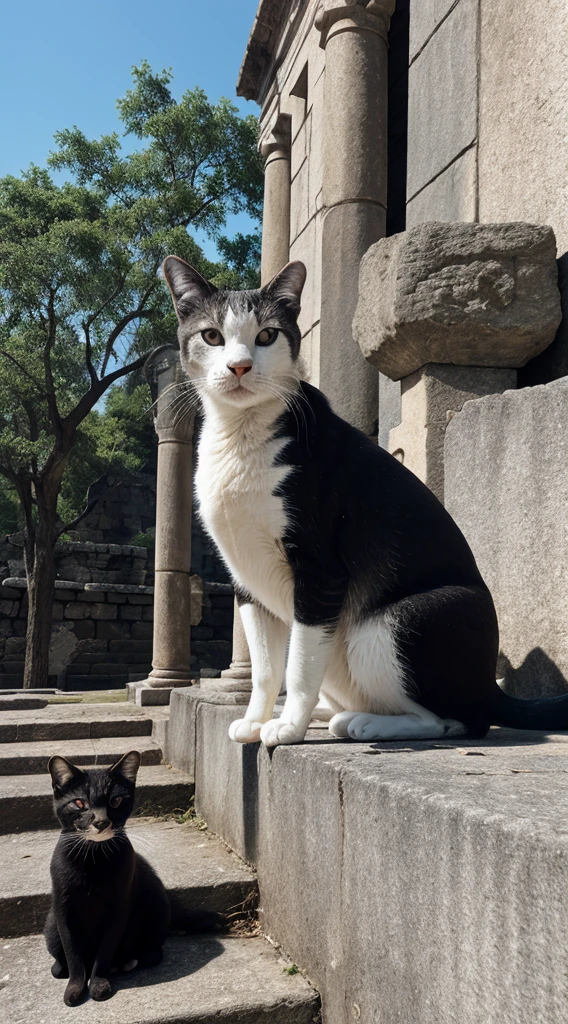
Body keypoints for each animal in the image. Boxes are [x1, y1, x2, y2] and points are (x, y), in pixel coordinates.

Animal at [45, 749, 169, 1003]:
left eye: (115, 801)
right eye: (79, 802)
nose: (101, 821)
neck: (93, 859)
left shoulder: (119, 907)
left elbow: (105, 950)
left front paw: (99, 983)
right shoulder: (63, 909)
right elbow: (72, 953)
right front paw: (75, 987)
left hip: (156, 906)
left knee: (152, 954)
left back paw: (126, 962)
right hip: (50, 925)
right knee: (58, 962)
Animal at [162, 256, 568, 749]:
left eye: (267, 335)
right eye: (212, 336)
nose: (239, 366)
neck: (243, 435)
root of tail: (490, 686)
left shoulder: (320, 571)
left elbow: (298, 664)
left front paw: (288, 727)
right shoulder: (245, 578)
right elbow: (264, 667)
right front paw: (255, 719)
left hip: (401, 622)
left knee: (462, 719)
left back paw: (362, 722)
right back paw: (332, 710)